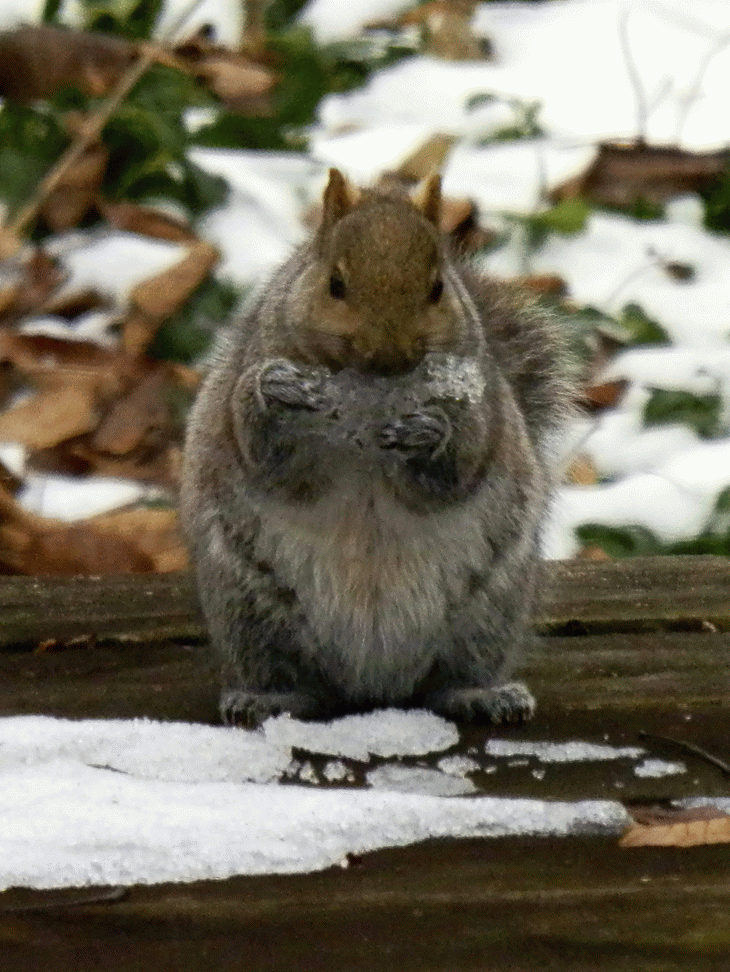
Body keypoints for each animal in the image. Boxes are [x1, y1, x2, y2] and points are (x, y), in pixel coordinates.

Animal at [180, 168, 571, 727]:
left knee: (445, 683)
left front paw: (429, 432)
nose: (391, 357)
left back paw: (483, 695)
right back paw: (269, 699)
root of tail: (372, 685)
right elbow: (266, 458)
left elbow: (460, 468)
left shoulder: (484, 408)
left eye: (438, 288)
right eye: (334, 284)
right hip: (250, 611)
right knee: (299, 684)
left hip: (489, 612)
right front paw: (273, 390)